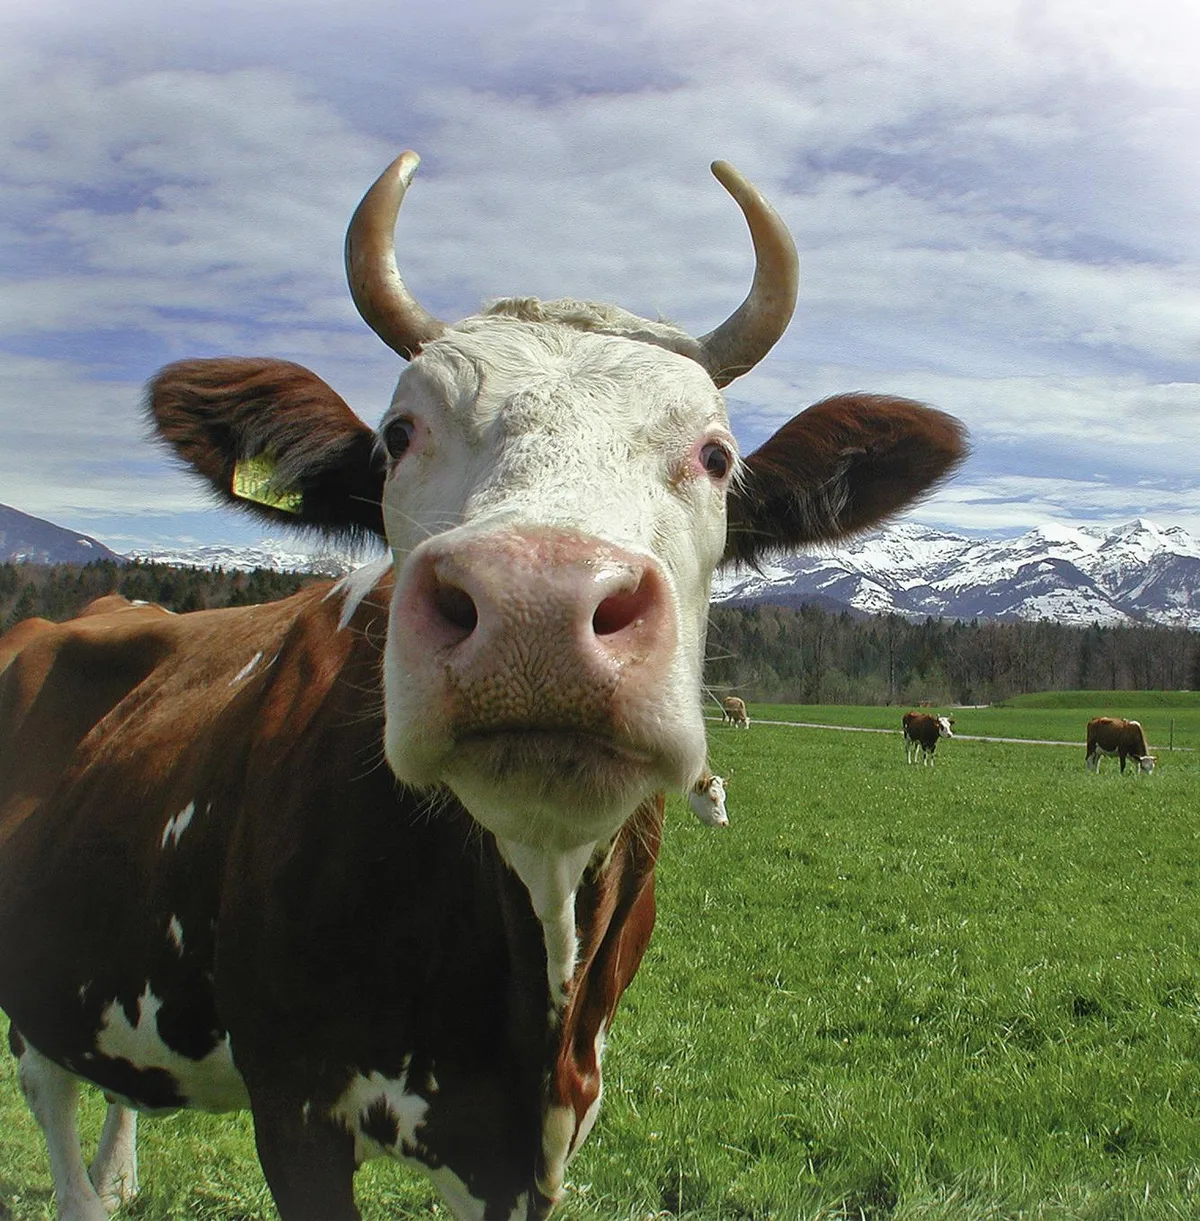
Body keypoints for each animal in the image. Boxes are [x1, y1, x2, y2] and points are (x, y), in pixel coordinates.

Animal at [0, 150, 966, 1221]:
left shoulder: (534, 1140)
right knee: (46, 1090)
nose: (536, 606)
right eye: (397, 434)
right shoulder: (294, 1105)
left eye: (716, 455)